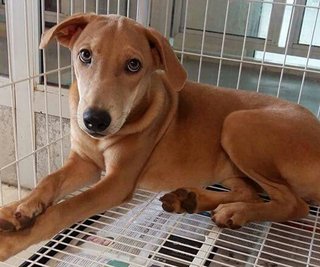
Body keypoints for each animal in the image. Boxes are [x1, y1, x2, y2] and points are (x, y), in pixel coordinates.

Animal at [0, 13, 320, 262]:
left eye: (134, 65)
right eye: (85, 55)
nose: (94, 120)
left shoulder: (117, 182)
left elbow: (65, 209)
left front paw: (12, 241)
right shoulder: (84, 161)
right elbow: (49, 179)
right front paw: (18, 208)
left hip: (238, 124)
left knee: (294, 204)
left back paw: (234, 212)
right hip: (230, 161)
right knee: (250, 191)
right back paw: (192, 199)